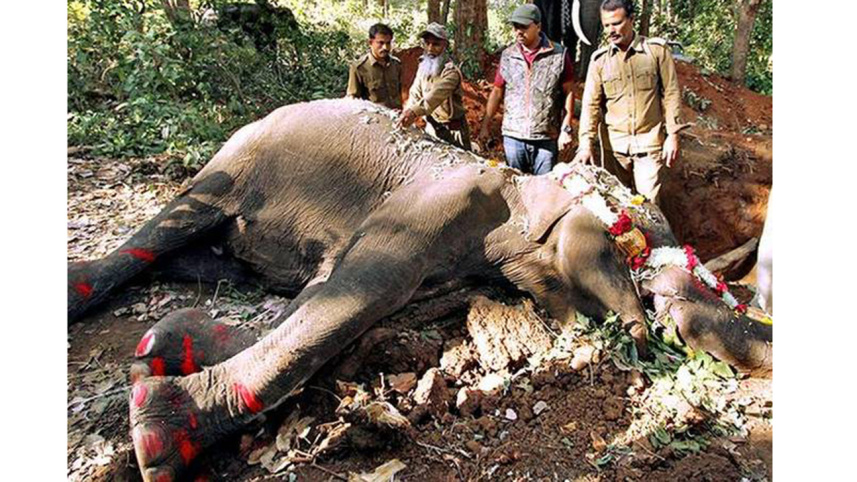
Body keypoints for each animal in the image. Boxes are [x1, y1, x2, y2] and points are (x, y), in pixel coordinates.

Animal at [67, 98, 771, 481]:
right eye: (630, 251)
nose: (660, 325)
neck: (516, 185)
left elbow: (332, 293)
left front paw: (172, 343)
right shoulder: (437, 203)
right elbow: (370, 285)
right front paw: (158, 428)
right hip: (234, 161)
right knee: (170, 225)